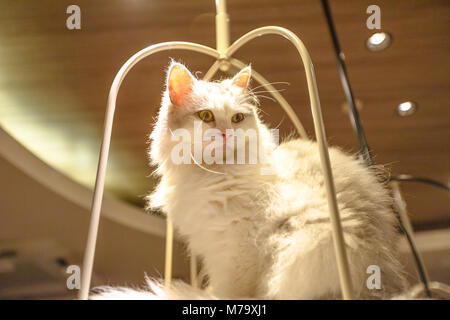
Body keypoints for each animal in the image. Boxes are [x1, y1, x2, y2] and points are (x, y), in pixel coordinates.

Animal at [91, 62, 408, 300]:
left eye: (237, 118)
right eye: (205, 116)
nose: (225, 133)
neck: (214, 174)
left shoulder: (236, 251)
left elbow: (232, 292)